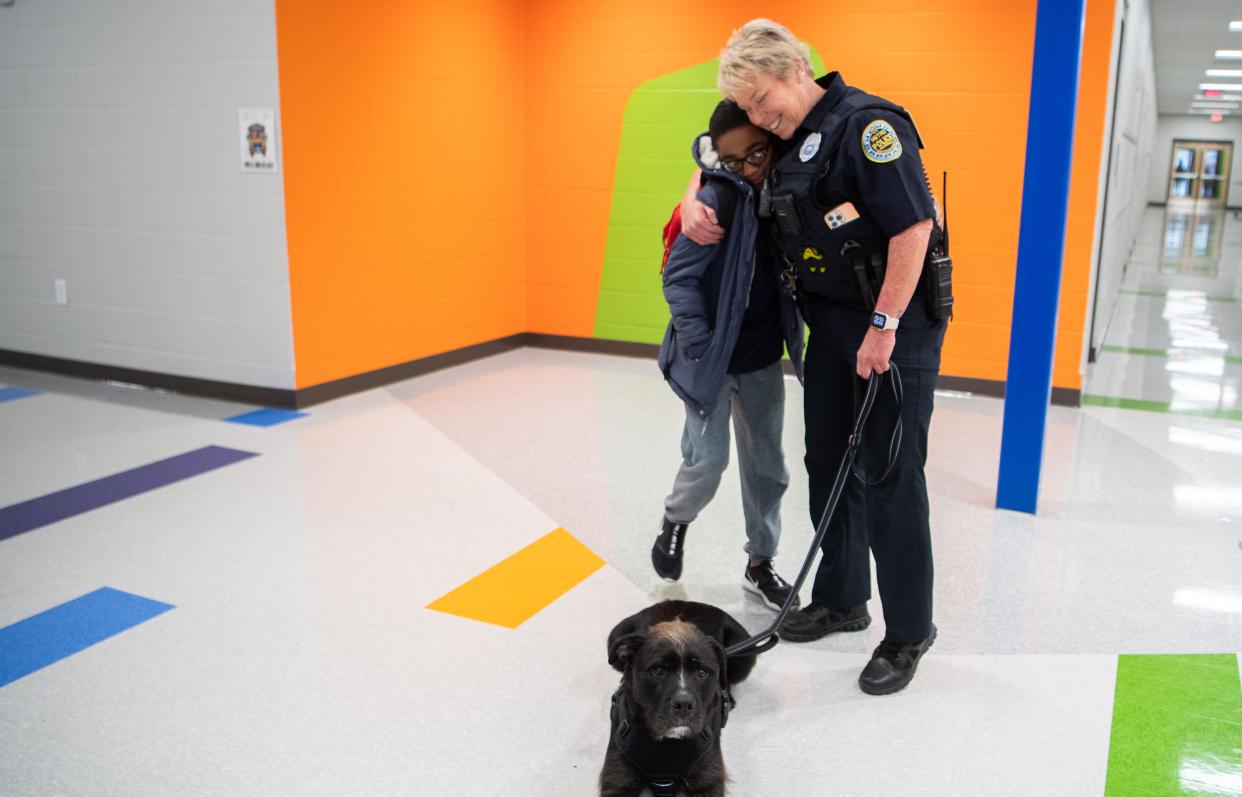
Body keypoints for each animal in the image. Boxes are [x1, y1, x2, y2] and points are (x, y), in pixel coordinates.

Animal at [601, 598, 755, 789]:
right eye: (658, 670)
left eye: (702, 672)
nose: (683, 705)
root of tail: (688, 601)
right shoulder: (617, 777)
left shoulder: (709, 778)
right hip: (615, 635)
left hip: (745, 651)